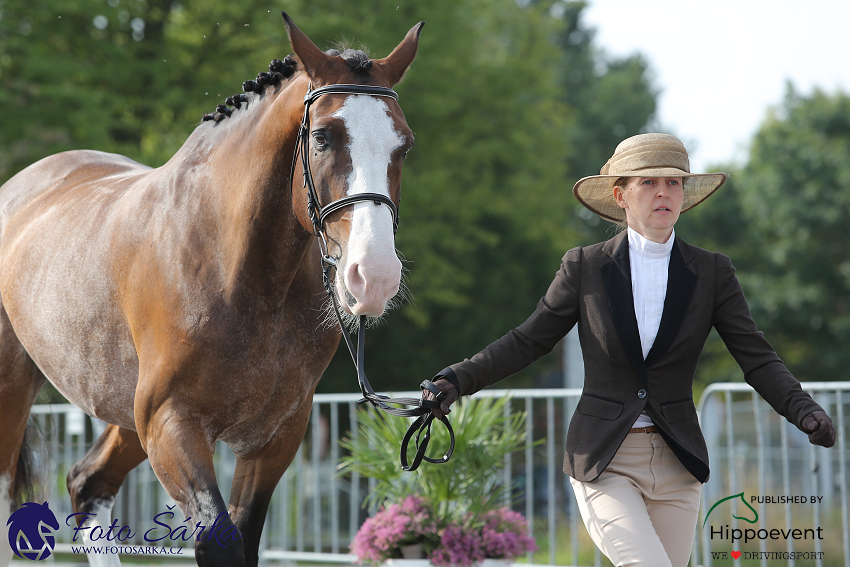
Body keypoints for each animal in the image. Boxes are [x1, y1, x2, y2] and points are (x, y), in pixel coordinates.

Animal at [0, 13, 420, 567]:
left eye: (405, 144)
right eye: (324, 137)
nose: (373, 276)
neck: (243, 277)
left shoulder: (274, 436)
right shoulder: (171, 424)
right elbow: (219, 540)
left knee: (89, 484)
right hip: (16, 390)